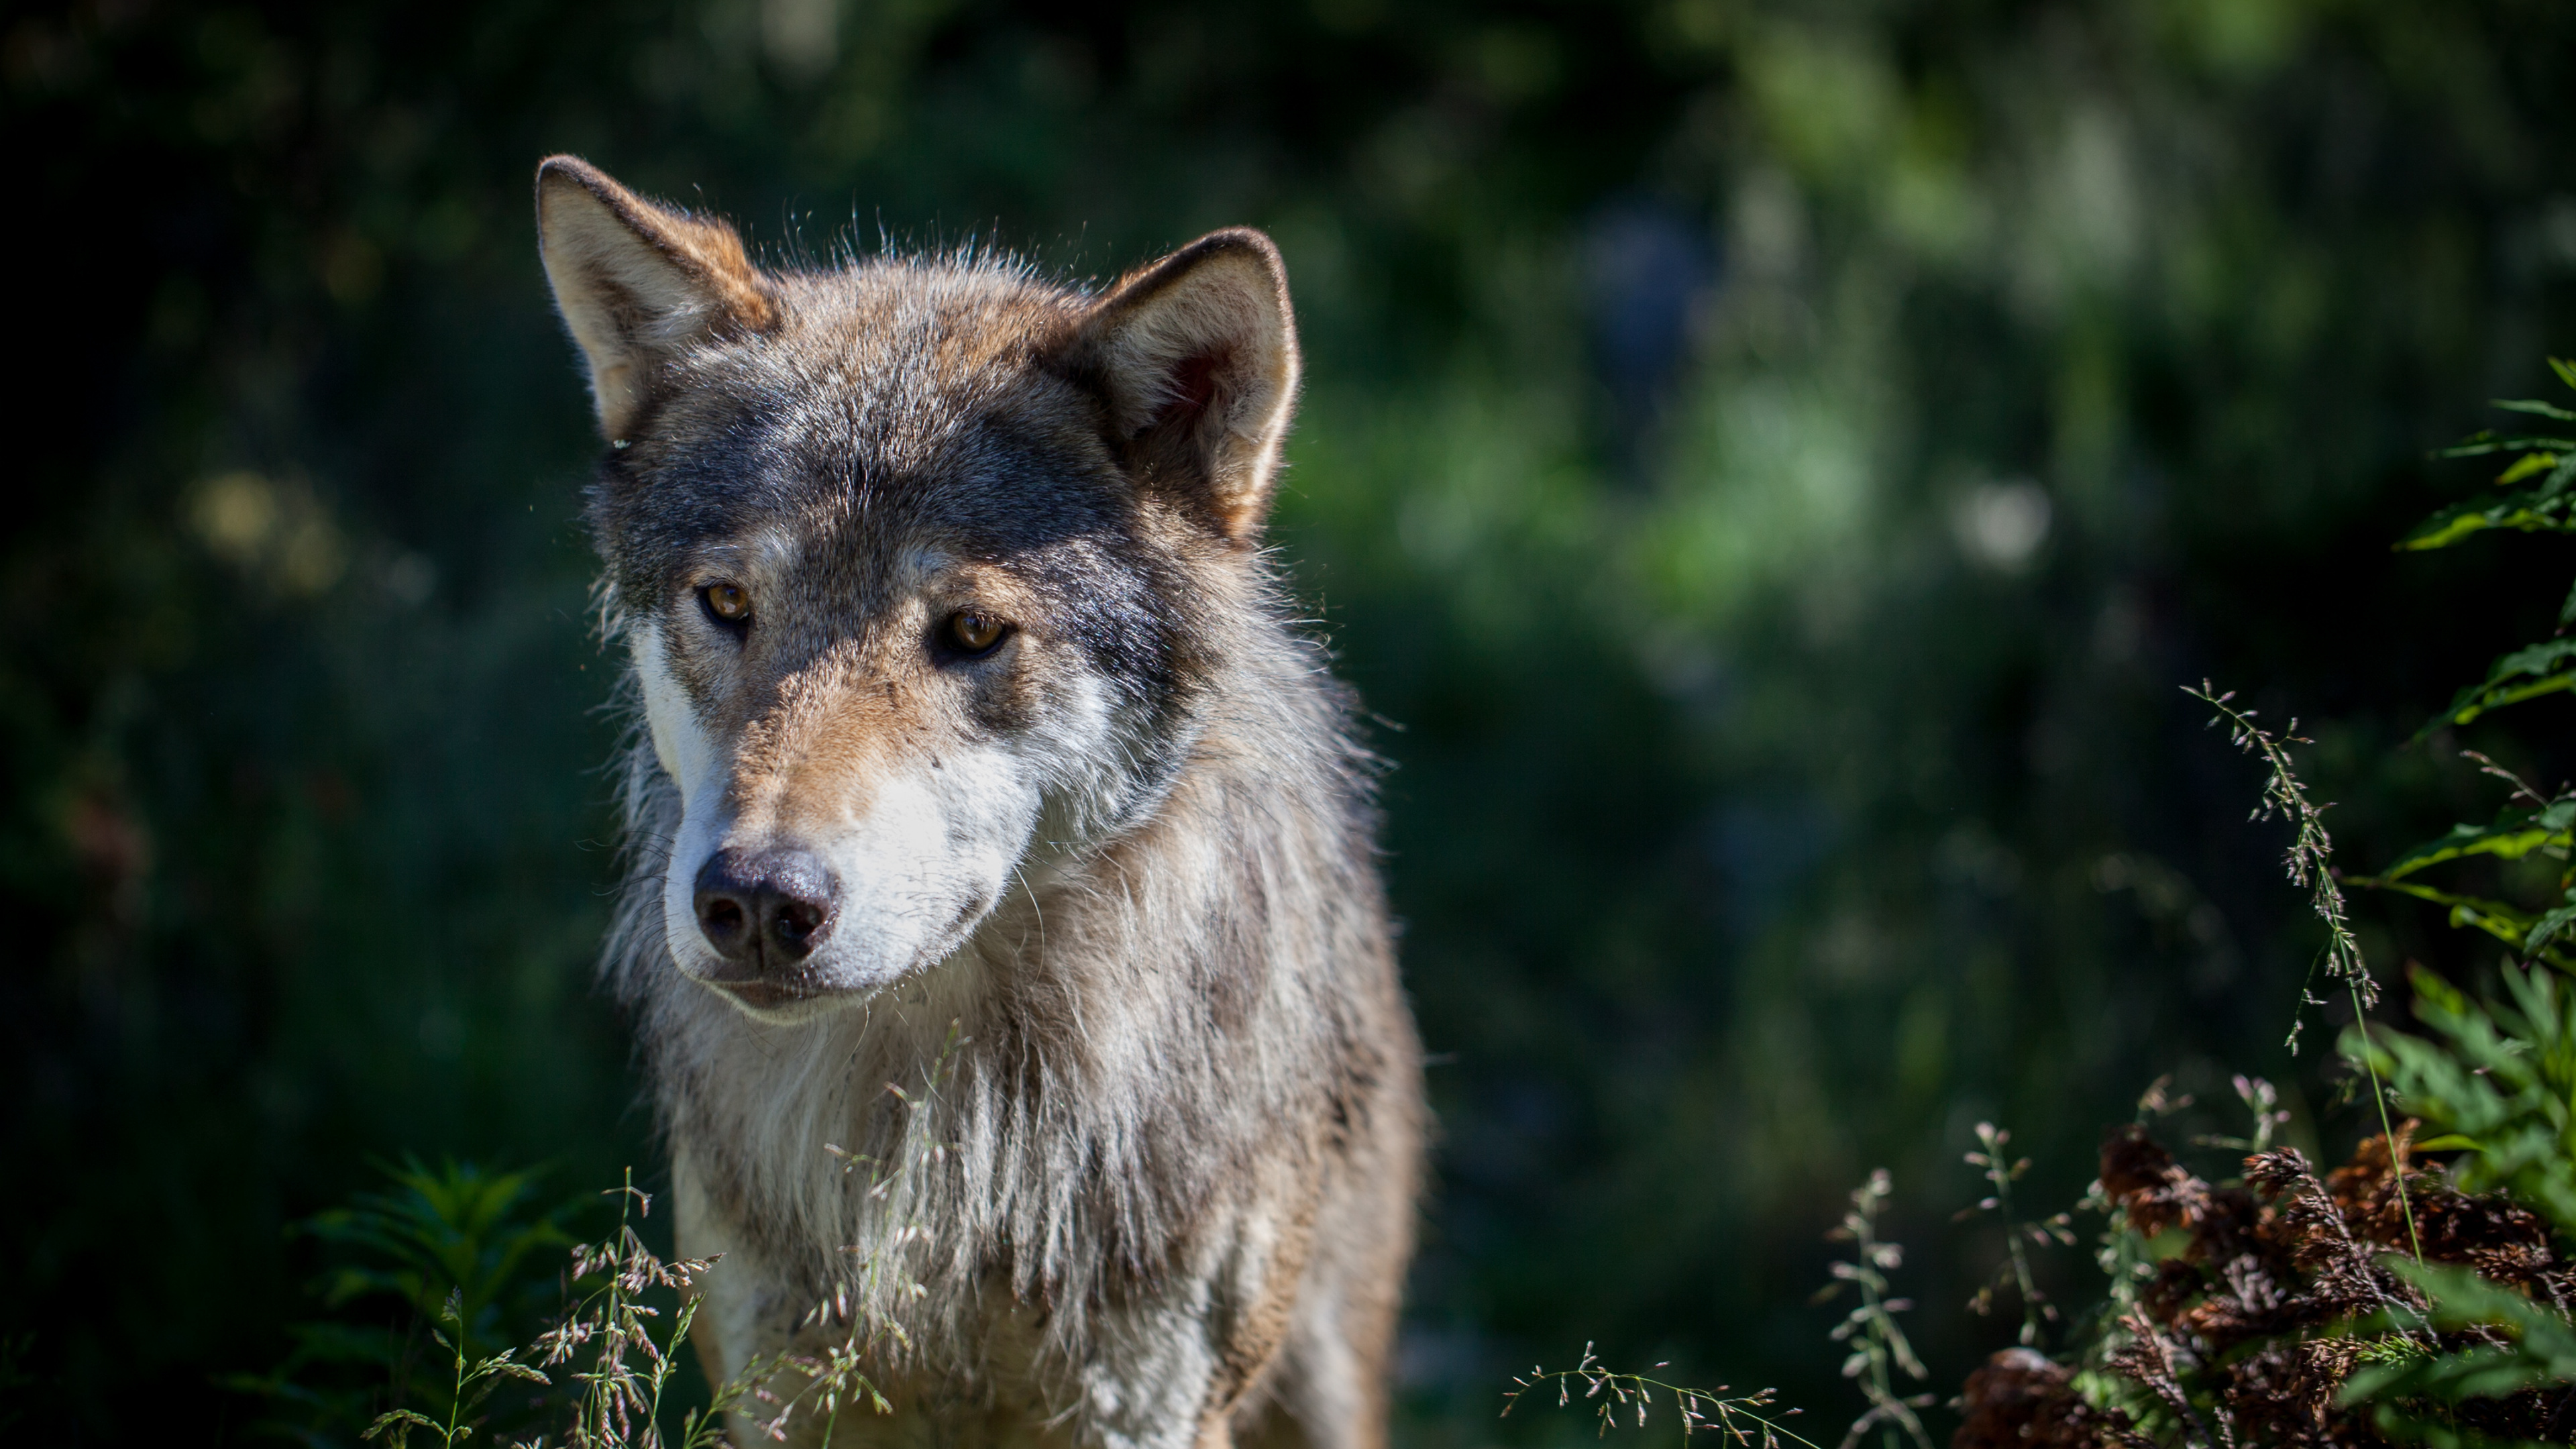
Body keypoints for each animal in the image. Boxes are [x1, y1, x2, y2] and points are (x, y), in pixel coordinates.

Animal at [533, 158, 1432, 1444]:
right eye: (727, 603)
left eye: (969, 631)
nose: (755, 901)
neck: (953, 1135)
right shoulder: (778, 1385)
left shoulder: (1145, 1404)